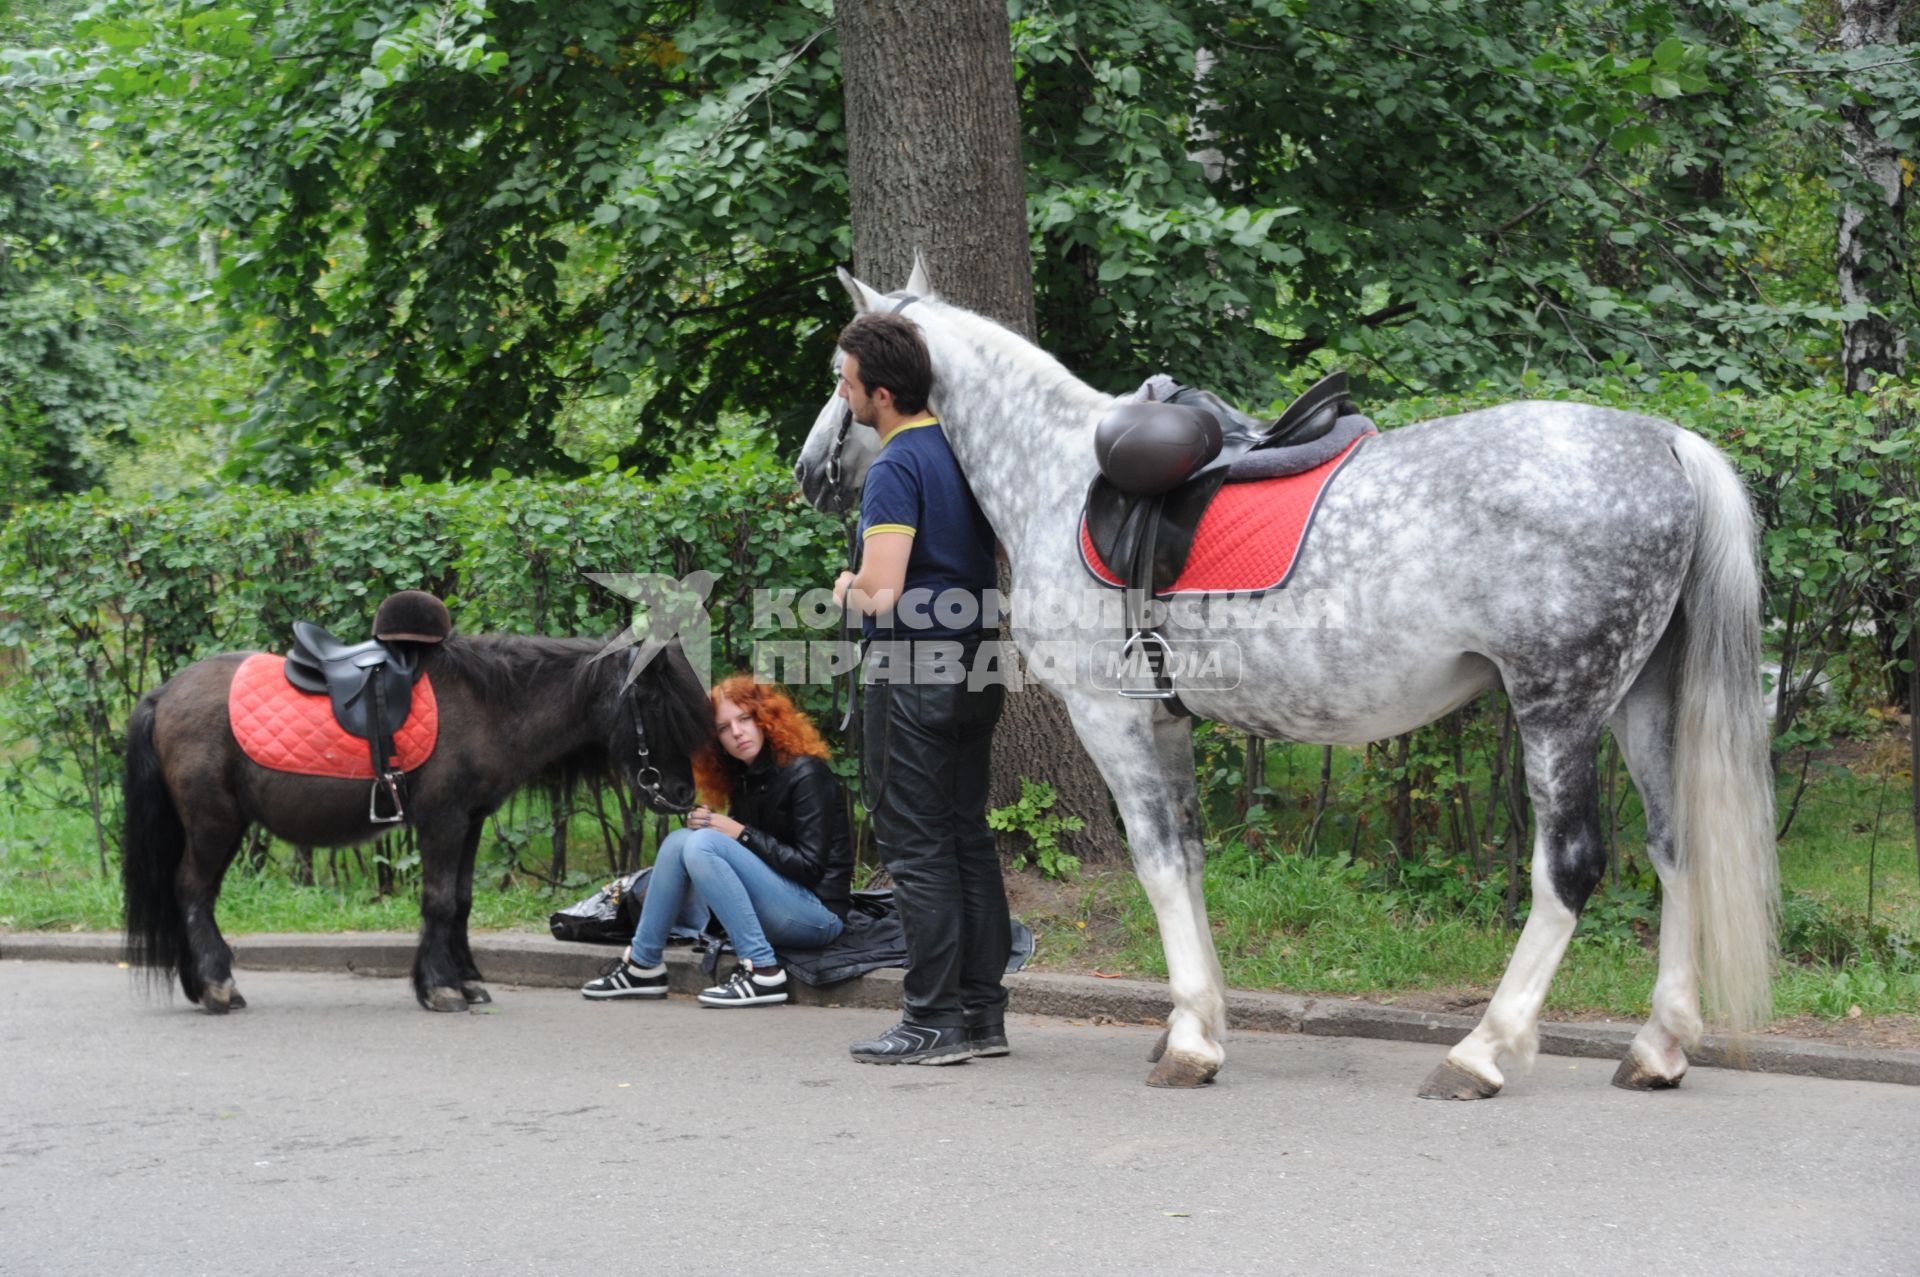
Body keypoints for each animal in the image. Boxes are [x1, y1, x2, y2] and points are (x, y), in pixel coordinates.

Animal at [125, 633, 714, 1013]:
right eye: (654, 700)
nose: (684, 795)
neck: (484, 704)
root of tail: (163, 693)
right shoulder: (442, 821)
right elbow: (439, 901)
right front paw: (441, 987)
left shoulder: (470, 822)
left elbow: (462, 901)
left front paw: (467, 979)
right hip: (213, 822)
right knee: (192, 893)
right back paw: (217, 986)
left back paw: (204, 984)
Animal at [791, 261, 1766, 1098]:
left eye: (840, 371)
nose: (808, 472)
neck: (1057, 474)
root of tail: (1667, 442)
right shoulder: (1167, 719)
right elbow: (1189, 855)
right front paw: (1201, 1018)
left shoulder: (1110, 718)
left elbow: (1155, 862)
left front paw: (1190, 1038)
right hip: (1638, 702)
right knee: (1673, 845)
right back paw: (1660, 1043)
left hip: (1559, 708)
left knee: (1568, 866)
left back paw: (1482, 1050)